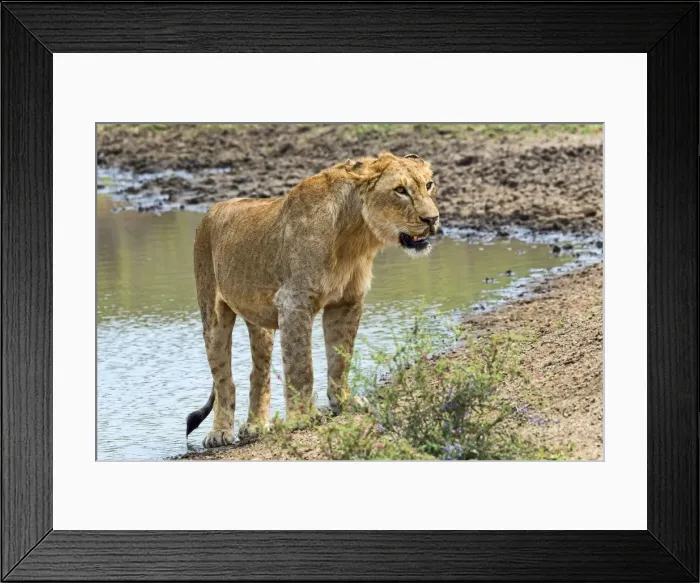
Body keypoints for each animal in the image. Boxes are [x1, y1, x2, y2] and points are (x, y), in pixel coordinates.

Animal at [186, 152, 440, 447]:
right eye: (400, 190)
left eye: (429, 185)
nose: (432, 219)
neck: (355, 235)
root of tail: (213, 209)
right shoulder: (294, 302)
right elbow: (301, 366)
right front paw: (303, 417)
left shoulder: (346, 302)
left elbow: (341, 358)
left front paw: (342, 403)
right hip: (212, 313)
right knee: (223, 377)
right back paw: (220, 433)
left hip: (259, 322)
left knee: (258, 372)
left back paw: (256, 427)